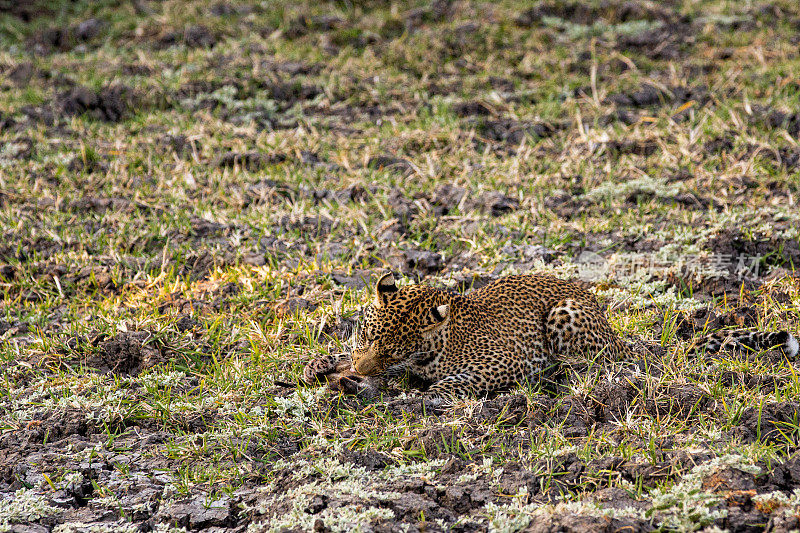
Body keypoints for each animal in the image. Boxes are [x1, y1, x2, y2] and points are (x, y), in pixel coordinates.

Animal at [304, 272, 796, 402]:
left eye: (391, 352)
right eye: (367, 337)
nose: (364, 366)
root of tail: (615, 330)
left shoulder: (504, 362)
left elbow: (450, 383)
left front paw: (415, 394)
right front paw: (322, 366)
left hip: (567, 315)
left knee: (601, 364)